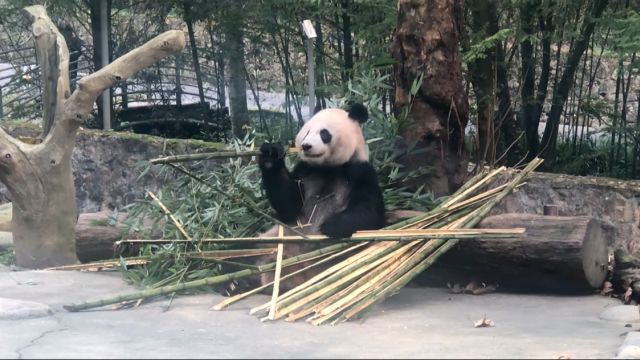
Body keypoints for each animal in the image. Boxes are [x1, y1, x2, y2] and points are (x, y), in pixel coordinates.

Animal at [255, 102, 384, 292]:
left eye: (324, 134)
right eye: (307, 131)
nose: (306, 146)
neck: (328, 168)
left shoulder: (361, 173)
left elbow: (368, 214)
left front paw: (330, 226)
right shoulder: (306, 171)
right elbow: (289, 205)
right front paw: (271, 156)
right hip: (276, 240)